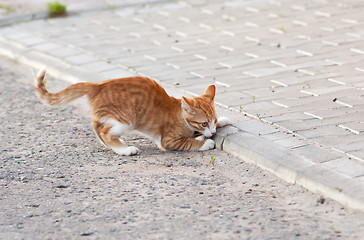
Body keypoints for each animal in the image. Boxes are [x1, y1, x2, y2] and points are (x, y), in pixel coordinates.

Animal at [35, 67, 232, 156]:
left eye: (213, 121)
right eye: (204, 123)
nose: (212, 131)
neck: (180, 115)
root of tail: (98, 85)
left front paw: (223, 120)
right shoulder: (167, 140)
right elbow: (188, 142)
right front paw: (205, 143)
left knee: (96, 124)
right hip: (127, 119)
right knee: (105, 131)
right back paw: (124, 150)